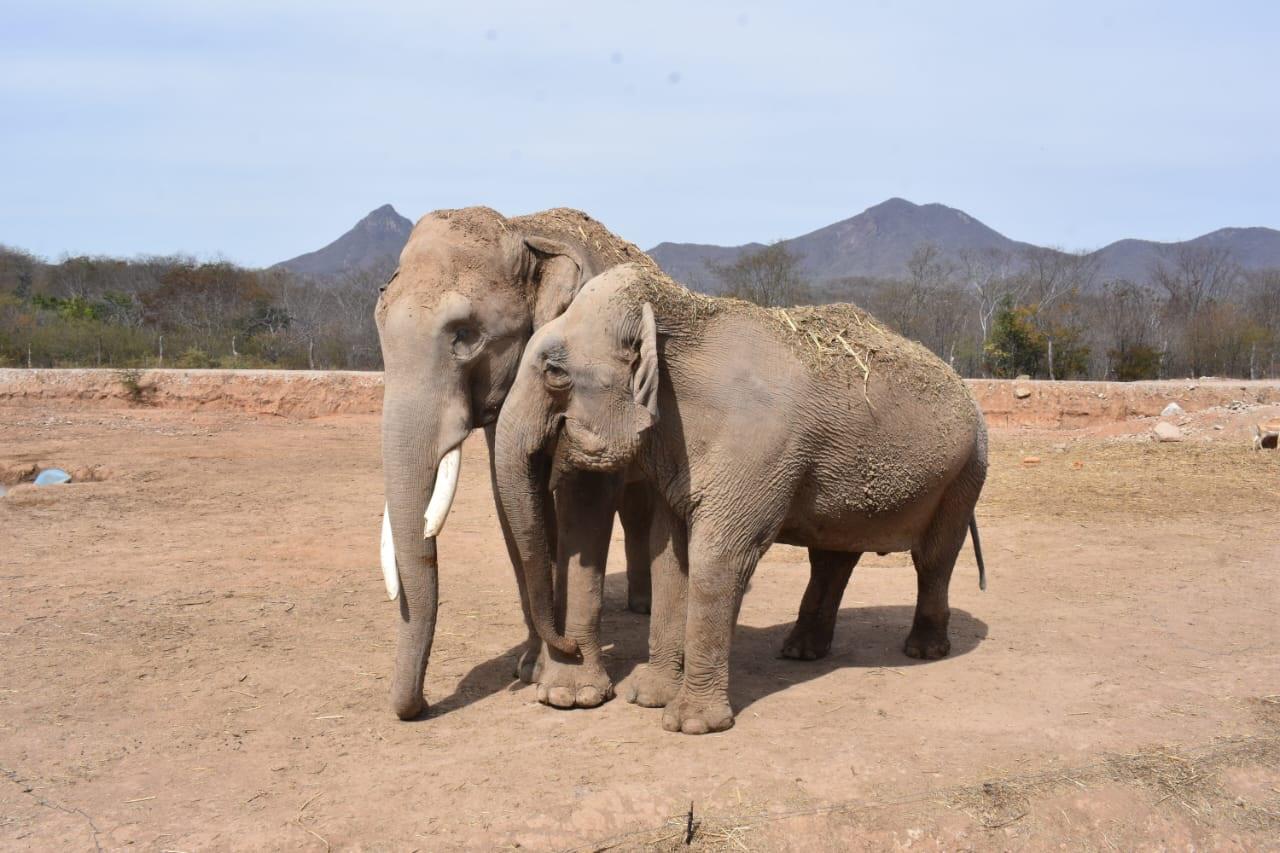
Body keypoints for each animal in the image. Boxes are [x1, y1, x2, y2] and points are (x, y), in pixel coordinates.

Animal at [373, 207, 660, 717]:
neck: (524, 231)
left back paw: (642, 608)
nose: (419, 707)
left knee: (639, 505)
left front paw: (571, 694)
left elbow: (584, 498)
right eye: (379, 328)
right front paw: (528, 671)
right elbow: (511, 500)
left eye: (465, 337)